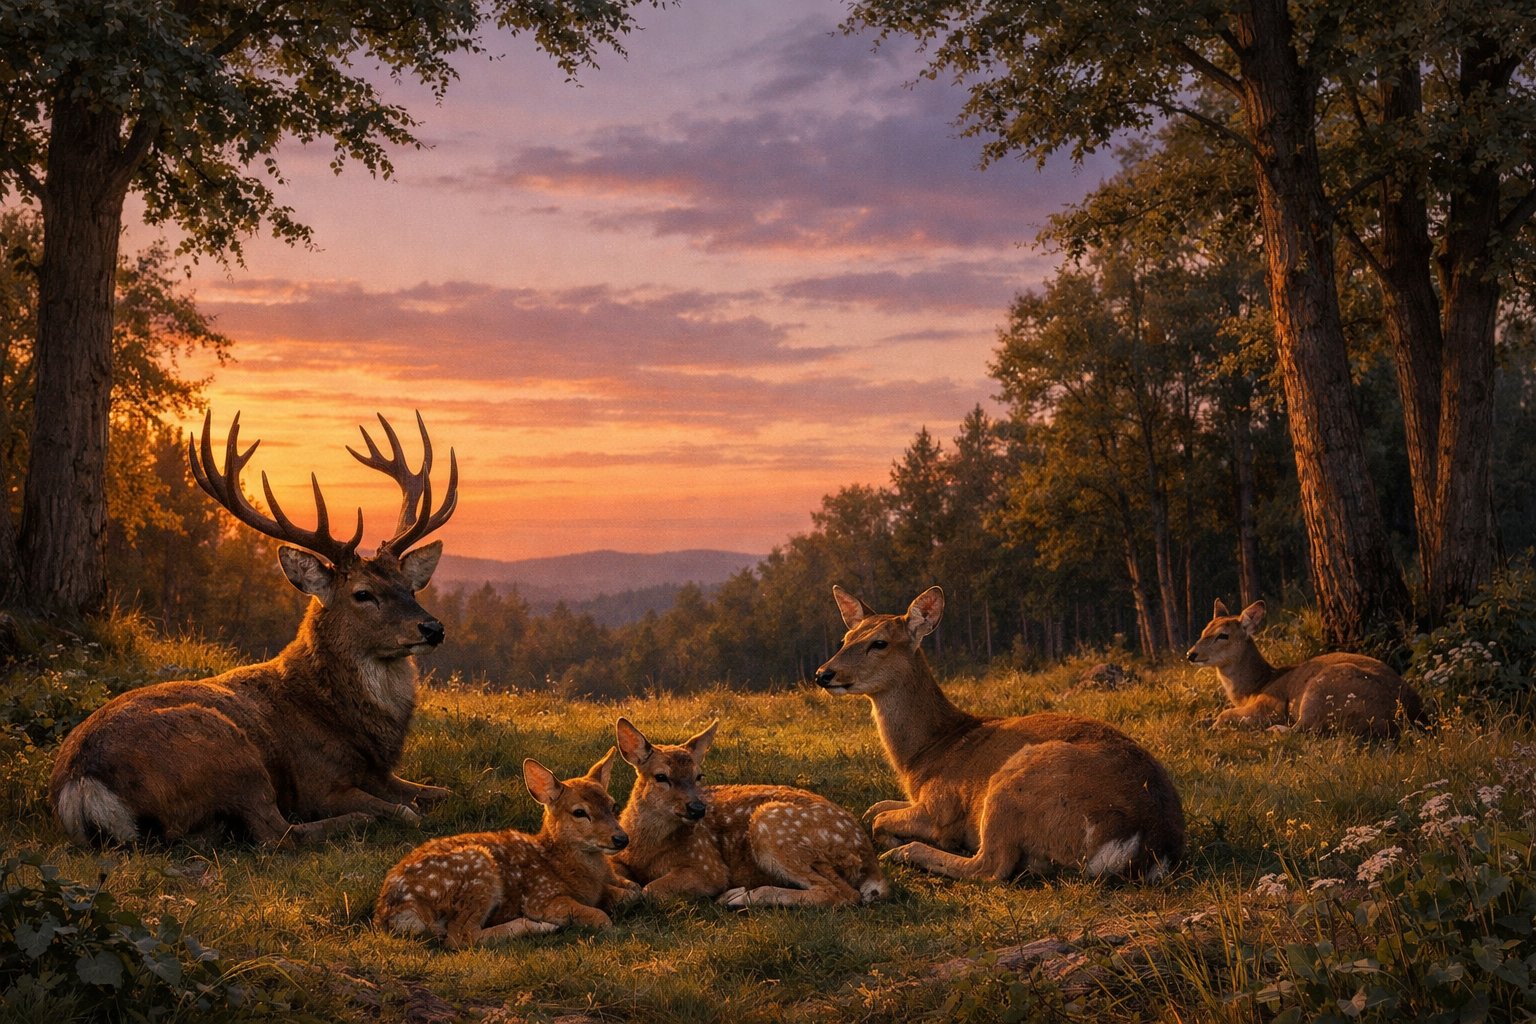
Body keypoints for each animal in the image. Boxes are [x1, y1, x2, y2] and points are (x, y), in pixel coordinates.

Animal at [50, 410, 458, 846]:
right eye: (363, 594)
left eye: (410, 586)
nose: (433, 628)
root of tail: (82, 784)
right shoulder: (318, 783)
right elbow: (405, 811)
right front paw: (394, 813)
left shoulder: (381, 773)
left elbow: (443, 790)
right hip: (230, 750)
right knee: (276, 834)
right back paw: (356, 821)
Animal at [375, 748, 640, 947]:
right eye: (579, 812)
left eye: (613, 805)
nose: (621, 839)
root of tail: (393, 912)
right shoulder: (540, 897)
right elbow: (600, 916)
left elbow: (634, 891)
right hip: (478, 870)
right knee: (461, 936)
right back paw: (540, 927)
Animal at [612, 717, 888, 908]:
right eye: (661, 776)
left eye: (699, 775)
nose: (698, 808)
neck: (646, 849)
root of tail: (869, 856)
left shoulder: (708, 865)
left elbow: (649, 890)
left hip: (773, 827)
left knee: (841, 893)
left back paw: (739, 896)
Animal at [814, 586, 1185, 884]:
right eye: (845, 639)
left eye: (879, 643)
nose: (823, 673)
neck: (925, 755)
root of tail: (1147, 843)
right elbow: (873, 809)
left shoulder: (941, 805)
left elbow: (880, 820)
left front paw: (903, 841)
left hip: (1015, 782)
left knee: (991, 867)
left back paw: (908, 852)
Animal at [1187, 599, 1424, 738]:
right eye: (1204, 630)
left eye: (1223, 635)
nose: (1191, 654)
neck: (1254, 688)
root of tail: (1410, 716)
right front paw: (1199, 722)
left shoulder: (1271, 707)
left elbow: (1224, 714)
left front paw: (1214, 726)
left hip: (1322, 687)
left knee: (1304, 729)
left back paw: (1273, 730)